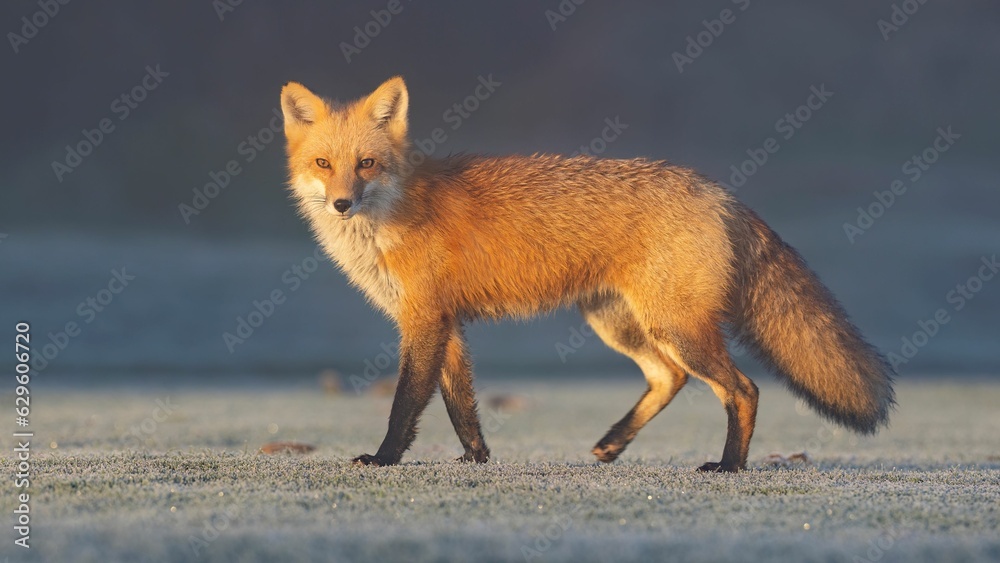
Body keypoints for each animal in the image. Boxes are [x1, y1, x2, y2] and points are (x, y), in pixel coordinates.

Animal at [279, 76, 895, 472]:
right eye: (323, 164)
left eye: (367, 164)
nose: (341, 204)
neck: (395, 213)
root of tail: (720, 191)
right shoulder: (444, 323)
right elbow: (461, 403)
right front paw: (477, 459)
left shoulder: (424, 320)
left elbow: (406, 403)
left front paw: (383, 459)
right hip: (617, 322)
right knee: (669, 378)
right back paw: (612, 446)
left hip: (675, 327)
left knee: (742, 390)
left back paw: (729, 467)